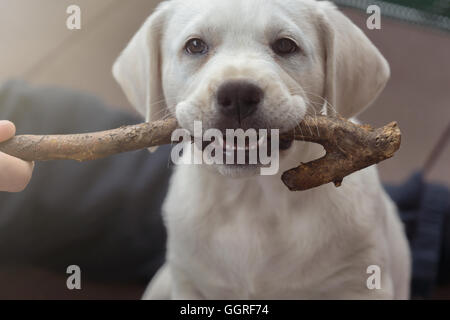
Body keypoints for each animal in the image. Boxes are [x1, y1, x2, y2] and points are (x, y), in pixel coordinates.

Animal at [113, 0, 412, 300]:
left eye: (285, 45)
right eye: (195, 45)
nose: (237, 95)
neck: (253, 197)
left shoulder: (360, 283)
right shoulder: (189, 283)